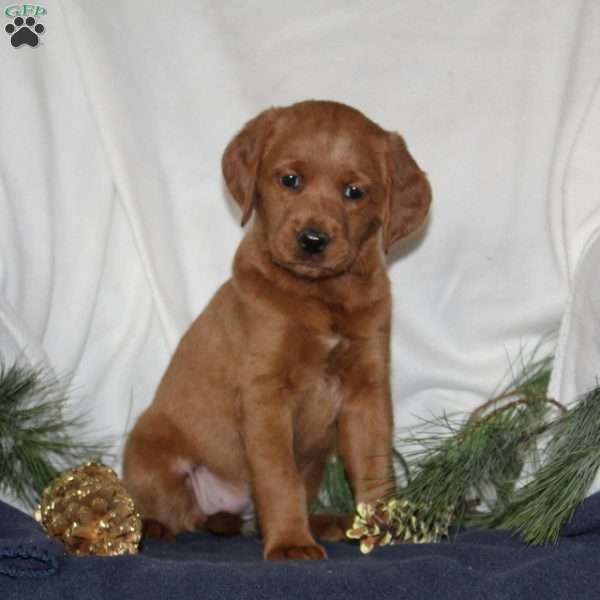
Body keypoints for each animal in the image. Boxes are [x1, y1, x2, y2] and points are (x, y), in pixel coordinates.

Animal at [123, 101, 432, 560]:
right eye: (290, 180)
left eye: (354, 192)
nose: (313, 240)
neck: (323, 297)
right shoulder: (265, 391)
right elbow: (278, 476)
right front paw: (290, 543)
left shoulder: (367, 391)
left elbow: (375, 469)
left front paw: (382, 528)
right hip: (151, 453)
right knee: (178, 514)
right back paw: (154, 528)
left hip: (315, 463)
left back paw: (324, 522)